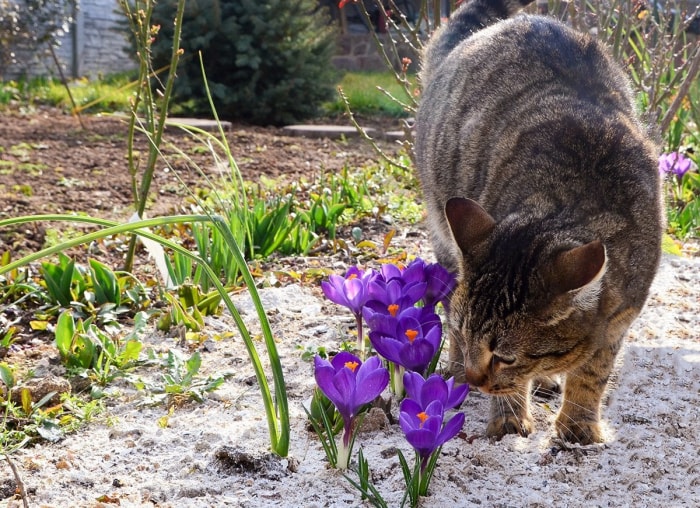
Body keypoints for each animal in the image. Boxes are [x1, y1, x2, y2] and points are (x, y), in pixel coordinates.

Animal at [412, 0, 664, 442]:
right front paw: (510, 418)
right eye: (465, 333)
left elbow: (593, 373)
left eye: (505, 356)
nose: (474, 380)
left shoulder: (619, 319)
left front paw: (578, 426)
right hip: (443, 233)